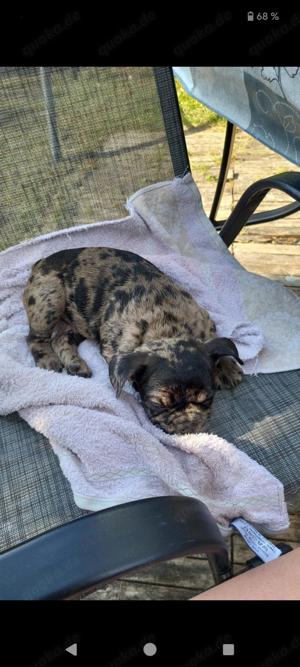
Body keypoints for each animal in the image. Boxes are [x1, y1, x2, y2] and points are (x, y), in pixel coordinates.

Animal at [23, 248, 244, 436]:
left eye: (207, 399)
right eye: (157, 404)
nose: (188, 427)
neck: (167, 328)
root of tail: (40, 262)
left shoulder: (204, 321)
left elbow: (216, 342)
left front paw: (228, 368)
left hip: (79, 321)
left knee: (61, 338)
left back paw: (75, 364)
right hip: (49, 299)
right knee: (35, 337)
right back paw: (47, 360)